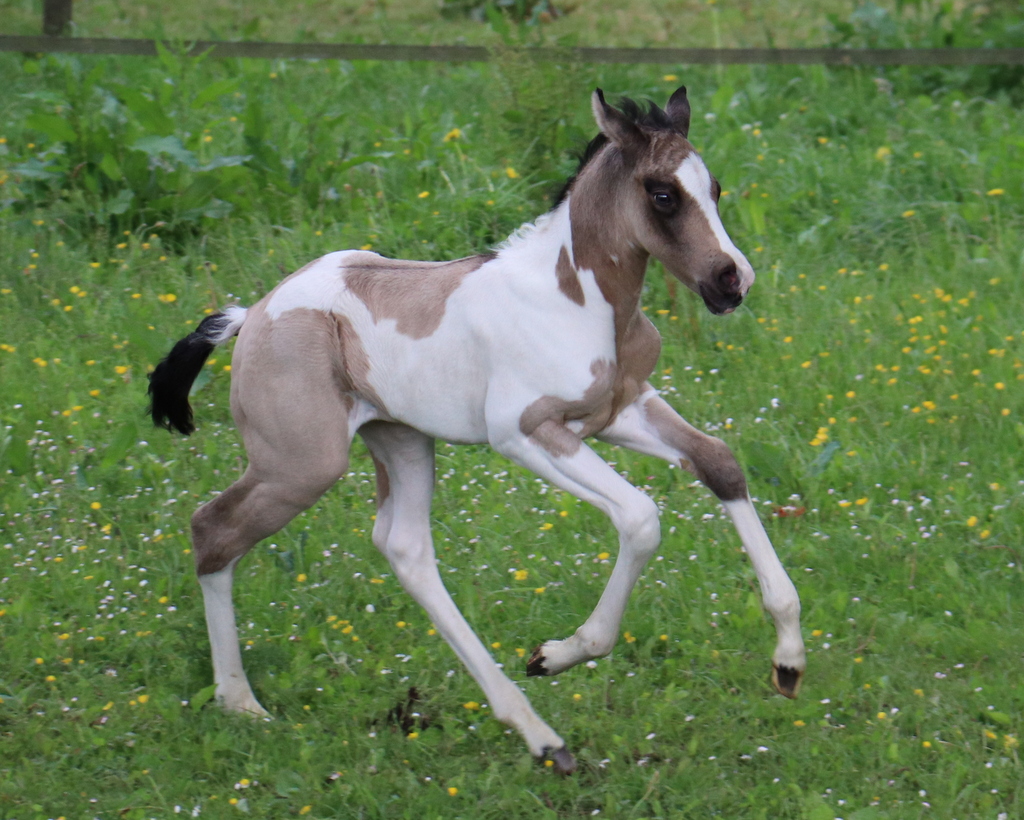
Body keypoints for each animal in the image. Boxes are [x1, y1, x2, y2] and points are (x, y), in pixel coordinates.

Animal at [148, 85, 806, 774]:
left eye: (716, 188)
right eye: (662, 194)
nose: (732, 279)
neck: (577, 301)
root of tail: (253, 315)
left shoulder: (620, 411)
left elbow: (719, 461)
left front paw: (789, 661)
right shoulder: (524, 432)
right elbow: (640, 517)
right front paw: (558, 654)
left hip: (402, 440)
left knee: (405, 548)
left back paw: (536, 731)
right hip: (301, 464)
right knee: (212, 529)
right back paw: (241, 702)